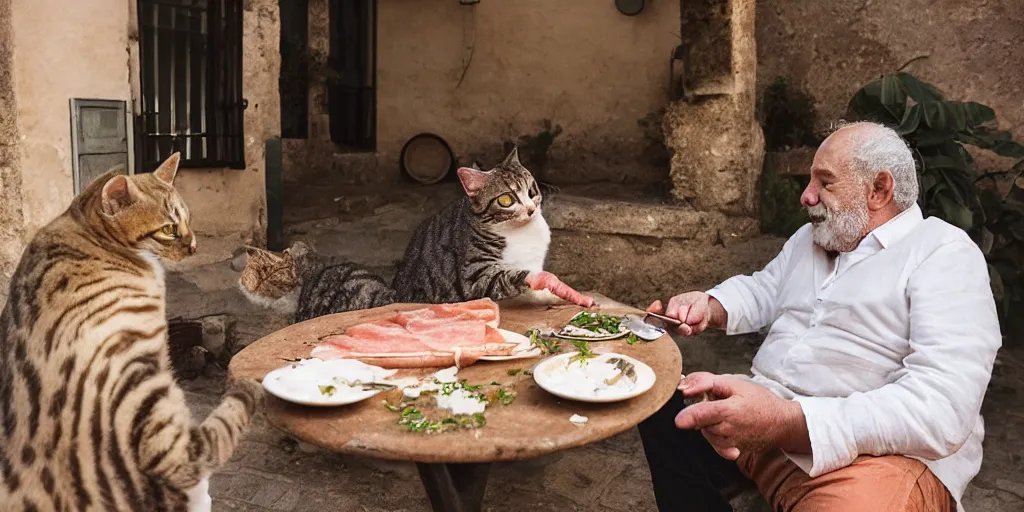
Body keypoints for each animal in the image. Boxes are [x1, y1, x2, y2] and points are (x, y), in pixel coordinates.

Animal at [393, 148, 598, 307]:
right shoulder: (473, 276)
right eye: (506, 200)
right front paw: (547, 283)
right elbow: (508, 277)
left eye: (532, 191)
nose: (531, 209)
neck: (522, 232)